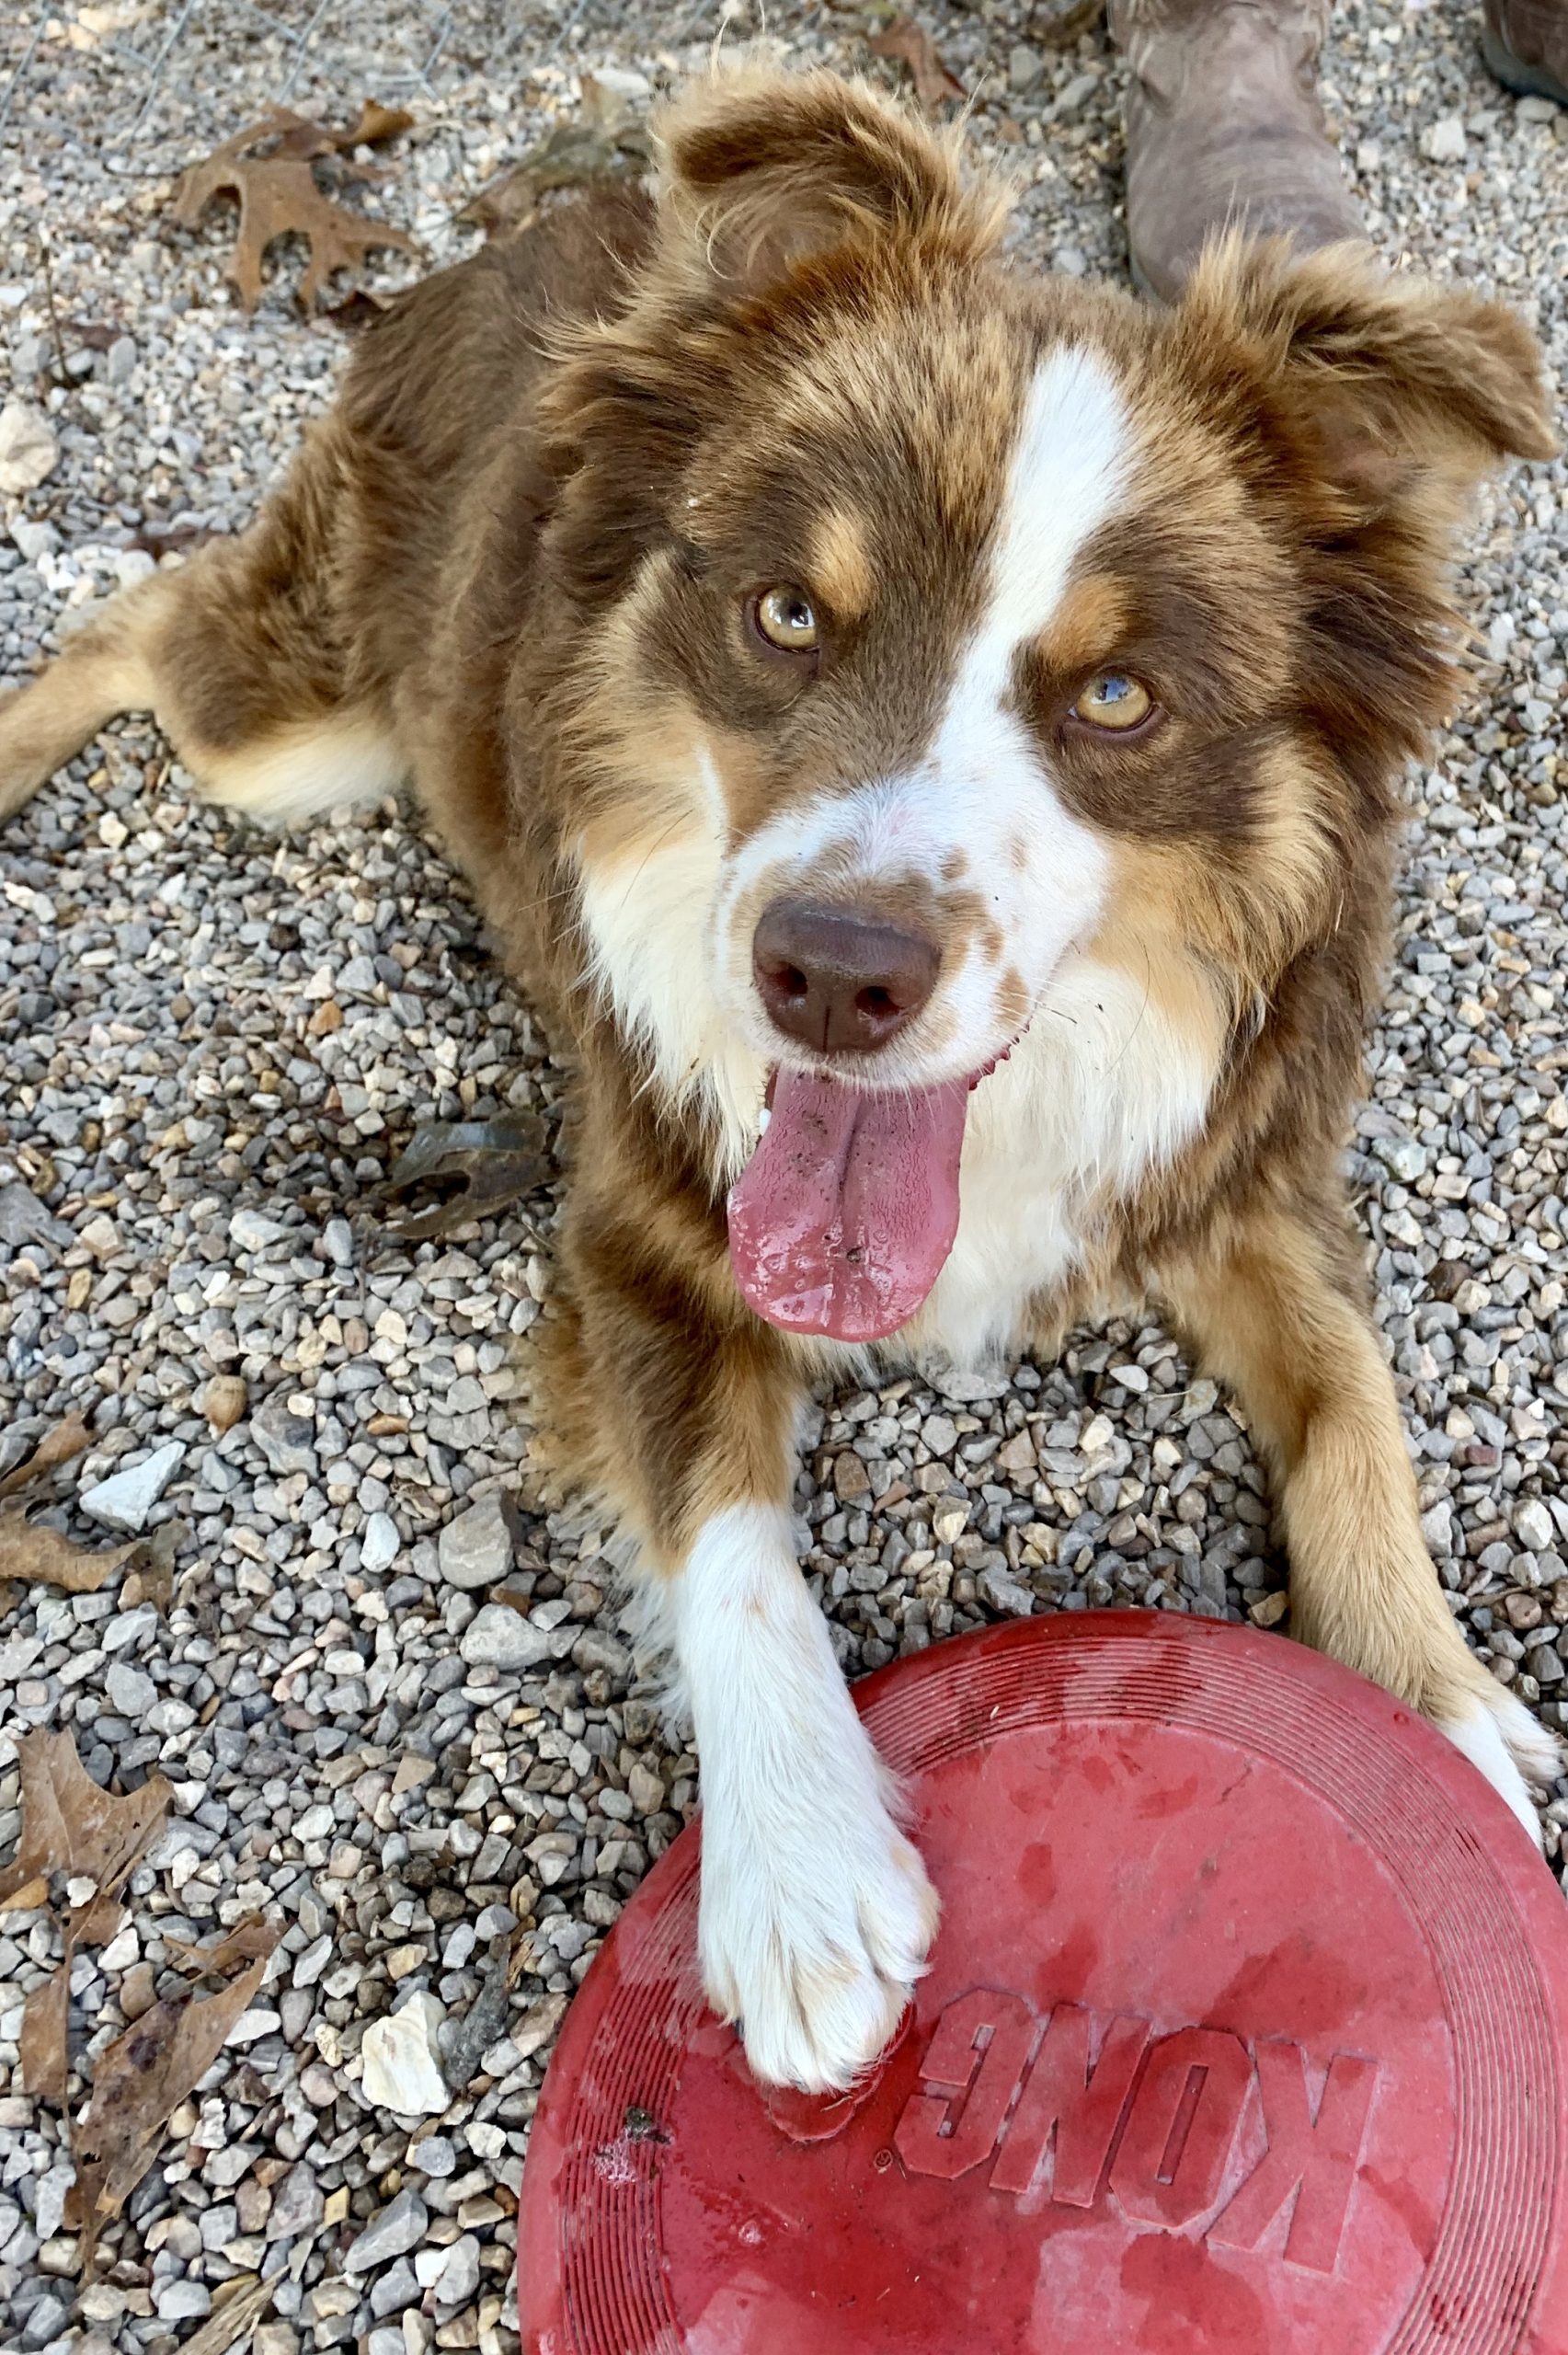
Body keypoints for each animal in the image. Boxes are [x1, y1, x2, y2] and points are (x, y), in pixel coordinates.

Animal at [6, 64, 1553, 2091]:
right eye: (789, 617)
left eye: (1119, 699)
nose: (827, 972)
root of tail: (541, 227)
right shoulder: (647, 1222)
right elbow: (723, 1524)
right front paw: (803, 1881)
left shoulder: (1239, 1171)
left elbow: (1358, 1412)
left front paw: (1438, 1706)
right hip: (297, 735)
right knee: (138, 620)